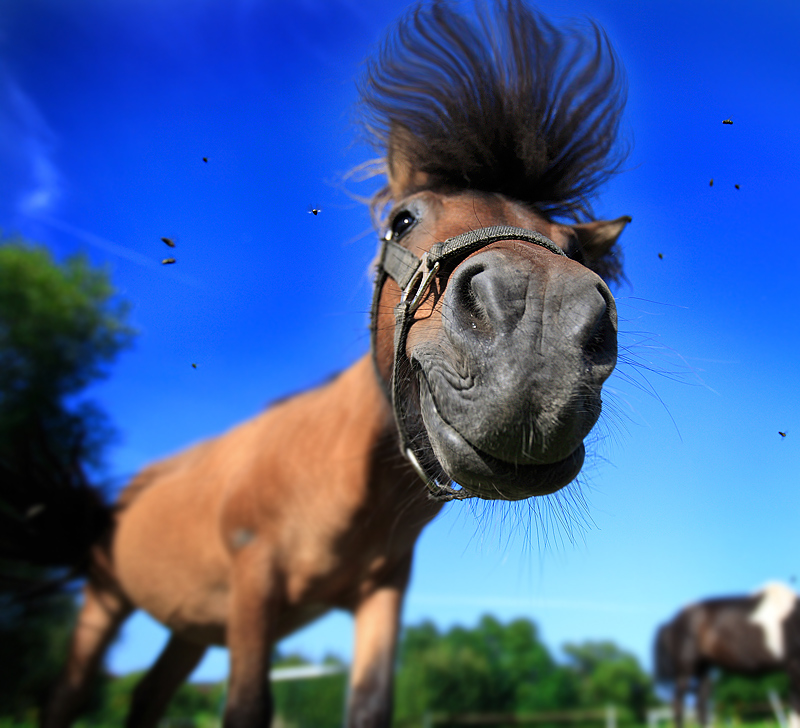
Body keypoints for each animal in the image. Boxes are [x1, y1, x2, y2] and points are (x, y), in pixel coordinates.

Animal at [29, 1, 632, 728]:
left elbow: (370, 706)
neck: (336, 471)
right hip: (107, 602)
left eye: (575, 246)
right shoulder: (254, 583)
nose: (539, 324)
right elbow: (247, 707)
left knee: (146, 698)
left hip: (190, 625)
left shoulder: (380, 596)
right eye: (403, 220)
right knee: (65, 696)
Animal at [656, 584, 800, 728]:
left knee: (701, 702)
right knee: (678, 704)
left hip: (703, 668)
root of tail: (672, 622)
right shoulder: (794, 665)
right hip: (685, 669)